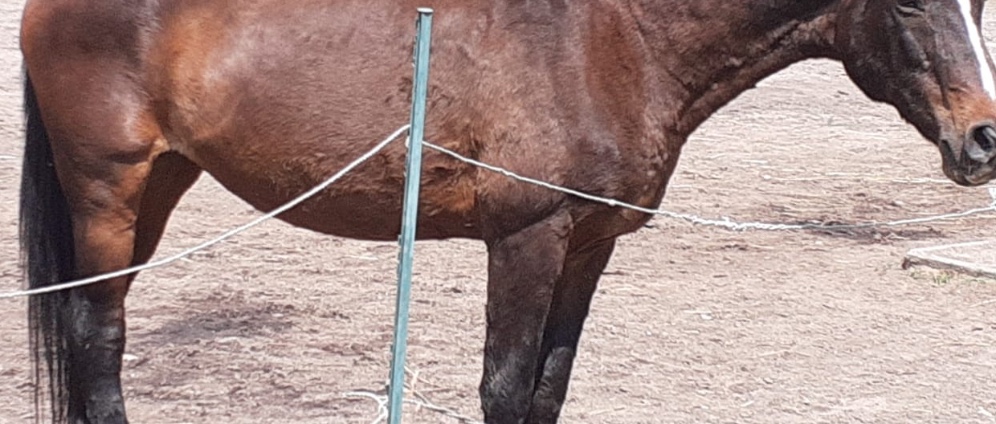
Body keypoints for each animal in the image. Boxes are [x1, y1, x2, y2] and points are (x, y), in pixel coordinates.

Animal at [18, 0, 996, 423]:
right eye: (907, 2)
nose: (983, 139)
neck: (613, 41)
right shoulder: (526, 242)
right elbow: (502, 386)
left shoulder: (590, 245)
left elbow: (546, 388)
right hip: (107, 190)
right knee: (96, 337)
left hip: (160, 186)